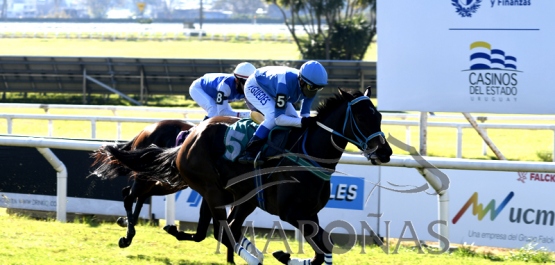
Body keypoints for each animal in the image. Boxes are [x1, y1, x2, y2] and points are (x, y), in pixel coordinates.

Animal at [101, 89, 396, 264]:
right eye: (362, 117)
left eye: (380, 116)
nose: (385, 152)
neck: (307, 153)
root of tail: (189, 138)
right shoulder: (293, 213)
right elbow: (323, 245)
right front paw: (280, 254)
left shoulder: (309, 213)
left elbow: (324, 248)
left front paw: (284, 255)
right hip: (206, 188)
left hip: (230, 194)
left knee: (221, 228)